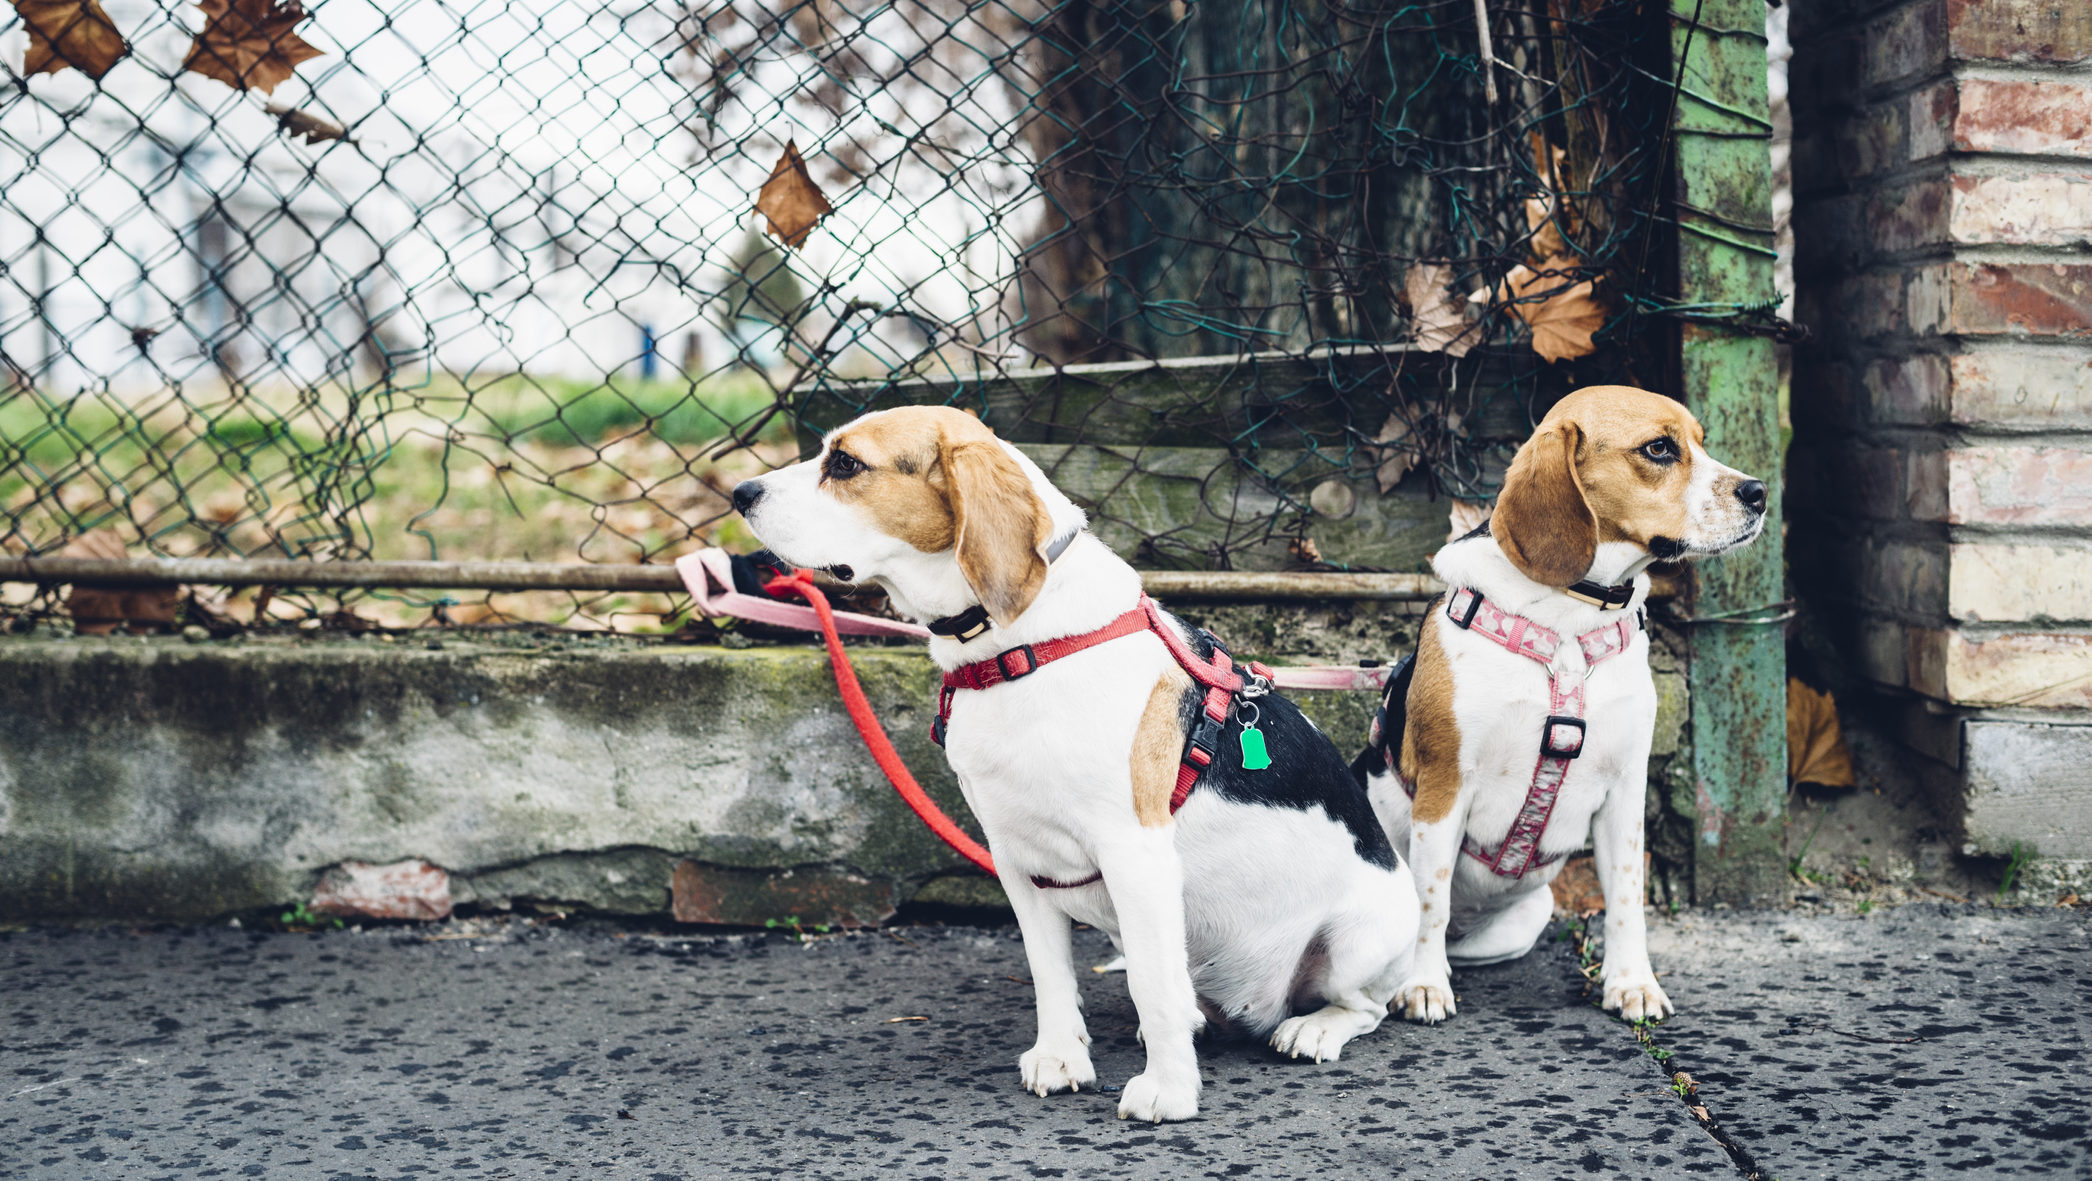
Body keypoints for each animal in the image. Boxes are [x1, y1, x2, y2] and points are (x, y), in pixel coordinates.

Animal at [732, 405, 1422, 1120]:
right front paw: (1062, 1057)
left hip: (1356, 941)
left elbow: (1151, 983)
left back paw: (1313, 1028)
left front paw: (1169, 1089)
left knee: (1362, 1007)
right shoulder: (1018, 859)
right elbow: (1051, 975)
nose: (739, 494)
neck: (1020, 651)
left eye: (845, 464)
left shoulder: (1135, 854)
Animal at [1355, 384, 1765, 1024]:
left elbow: (1626, 896)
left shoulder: (1625, 792)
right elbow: (1430, 899)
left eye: (1701, 441)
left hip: (1525, 918)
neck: (1570, 621)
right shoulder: (1445, 787)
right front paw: (1422, 984)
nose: (1760, 493)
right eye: (1659, 448)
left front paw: (1631, 982)